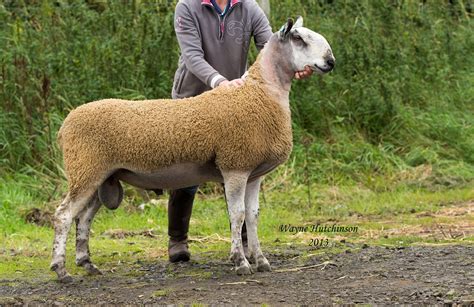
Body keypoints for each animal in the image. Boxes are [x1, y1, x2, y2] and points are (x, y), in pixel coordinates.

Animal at [51, 17, 336, 284]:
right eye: (299, 39)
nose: (330, 61)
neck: (260, 93)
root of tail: (65, 125)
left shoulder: (254, 173)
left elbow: (253, 216)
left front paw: (261, 260)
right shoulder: (235, 166)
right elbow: (238, 215)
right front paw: (240, 262)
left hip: (102, 177)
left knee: (83, 218)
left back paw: (87, 263)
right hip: (85, 169)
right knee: (64, 215)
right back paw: (61, 270)